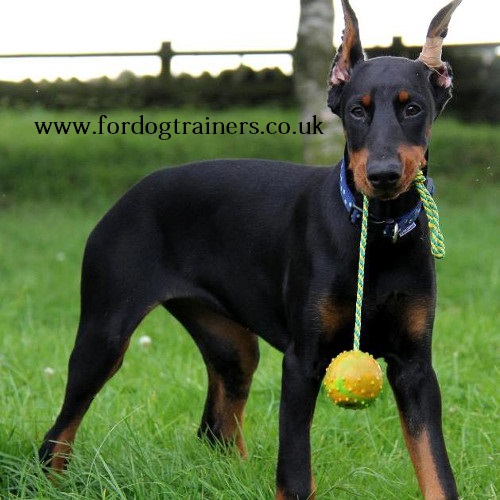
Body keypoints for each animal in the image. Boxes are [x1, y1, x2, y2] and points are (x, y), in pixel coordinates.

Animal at [39, 1, 460, 498]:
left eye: (413, 108)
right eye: (358, 111)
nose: (382, 175)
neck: (376, 231)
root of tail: (124, 199)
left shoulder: (415, 367)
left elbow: (437, 470)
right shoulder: (302, 362)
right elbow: (294, 473)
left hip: (231, 343)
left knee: (215, 427)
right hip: (105, 336)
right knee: (57, 436)